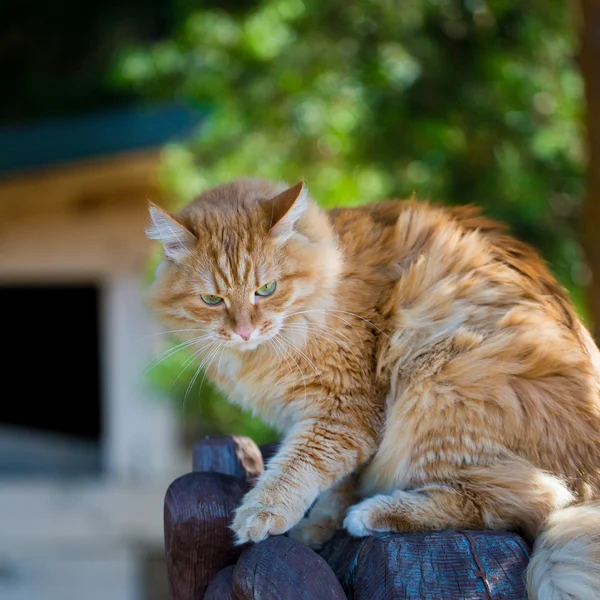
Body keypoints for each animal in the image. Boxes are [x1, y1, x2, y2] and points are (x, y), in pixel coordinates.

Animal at [145, 179, 600, 600]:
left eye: (266, 290)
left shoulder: (343, 411)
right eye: (212, 299)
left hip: (435, 382)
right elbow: (335, 481)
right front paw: (318, 527)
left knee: (530, 500)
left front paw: (263, 513)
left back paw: (373, 514)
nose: (244, 331)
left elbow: (297, 468)